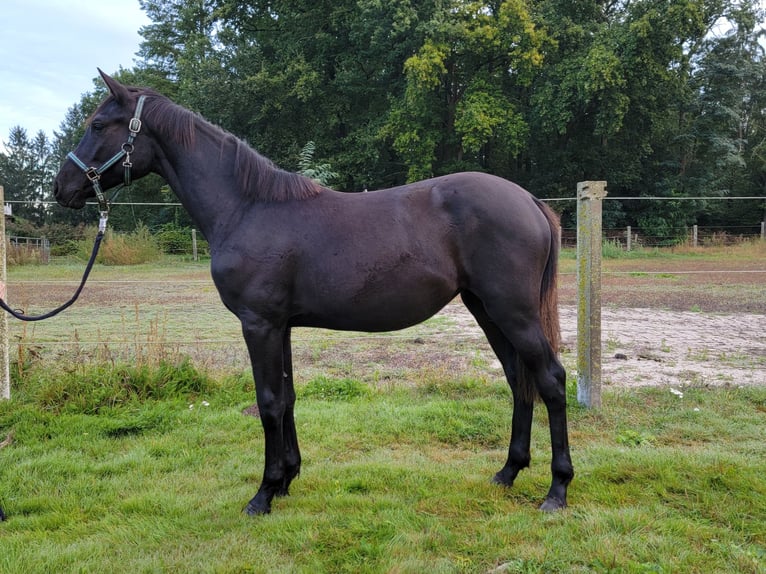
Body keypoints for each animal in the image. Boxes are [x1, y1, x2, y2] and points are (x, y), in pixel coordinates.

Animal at [46, 71, 576, 516]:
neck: (248, 207)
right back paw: (508, 472)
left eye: (97, 124)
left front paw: (263, 494)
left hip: (514, 312)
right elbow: (288, 397)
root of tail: (528, 200)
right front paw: (287, 479)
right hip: (486, 309)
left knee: (549, 379)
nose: (60, 188)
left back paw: (556, 490)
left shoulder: (258, 324)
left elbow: (267, 402)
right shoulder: (279, 326)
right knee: (519, 379)